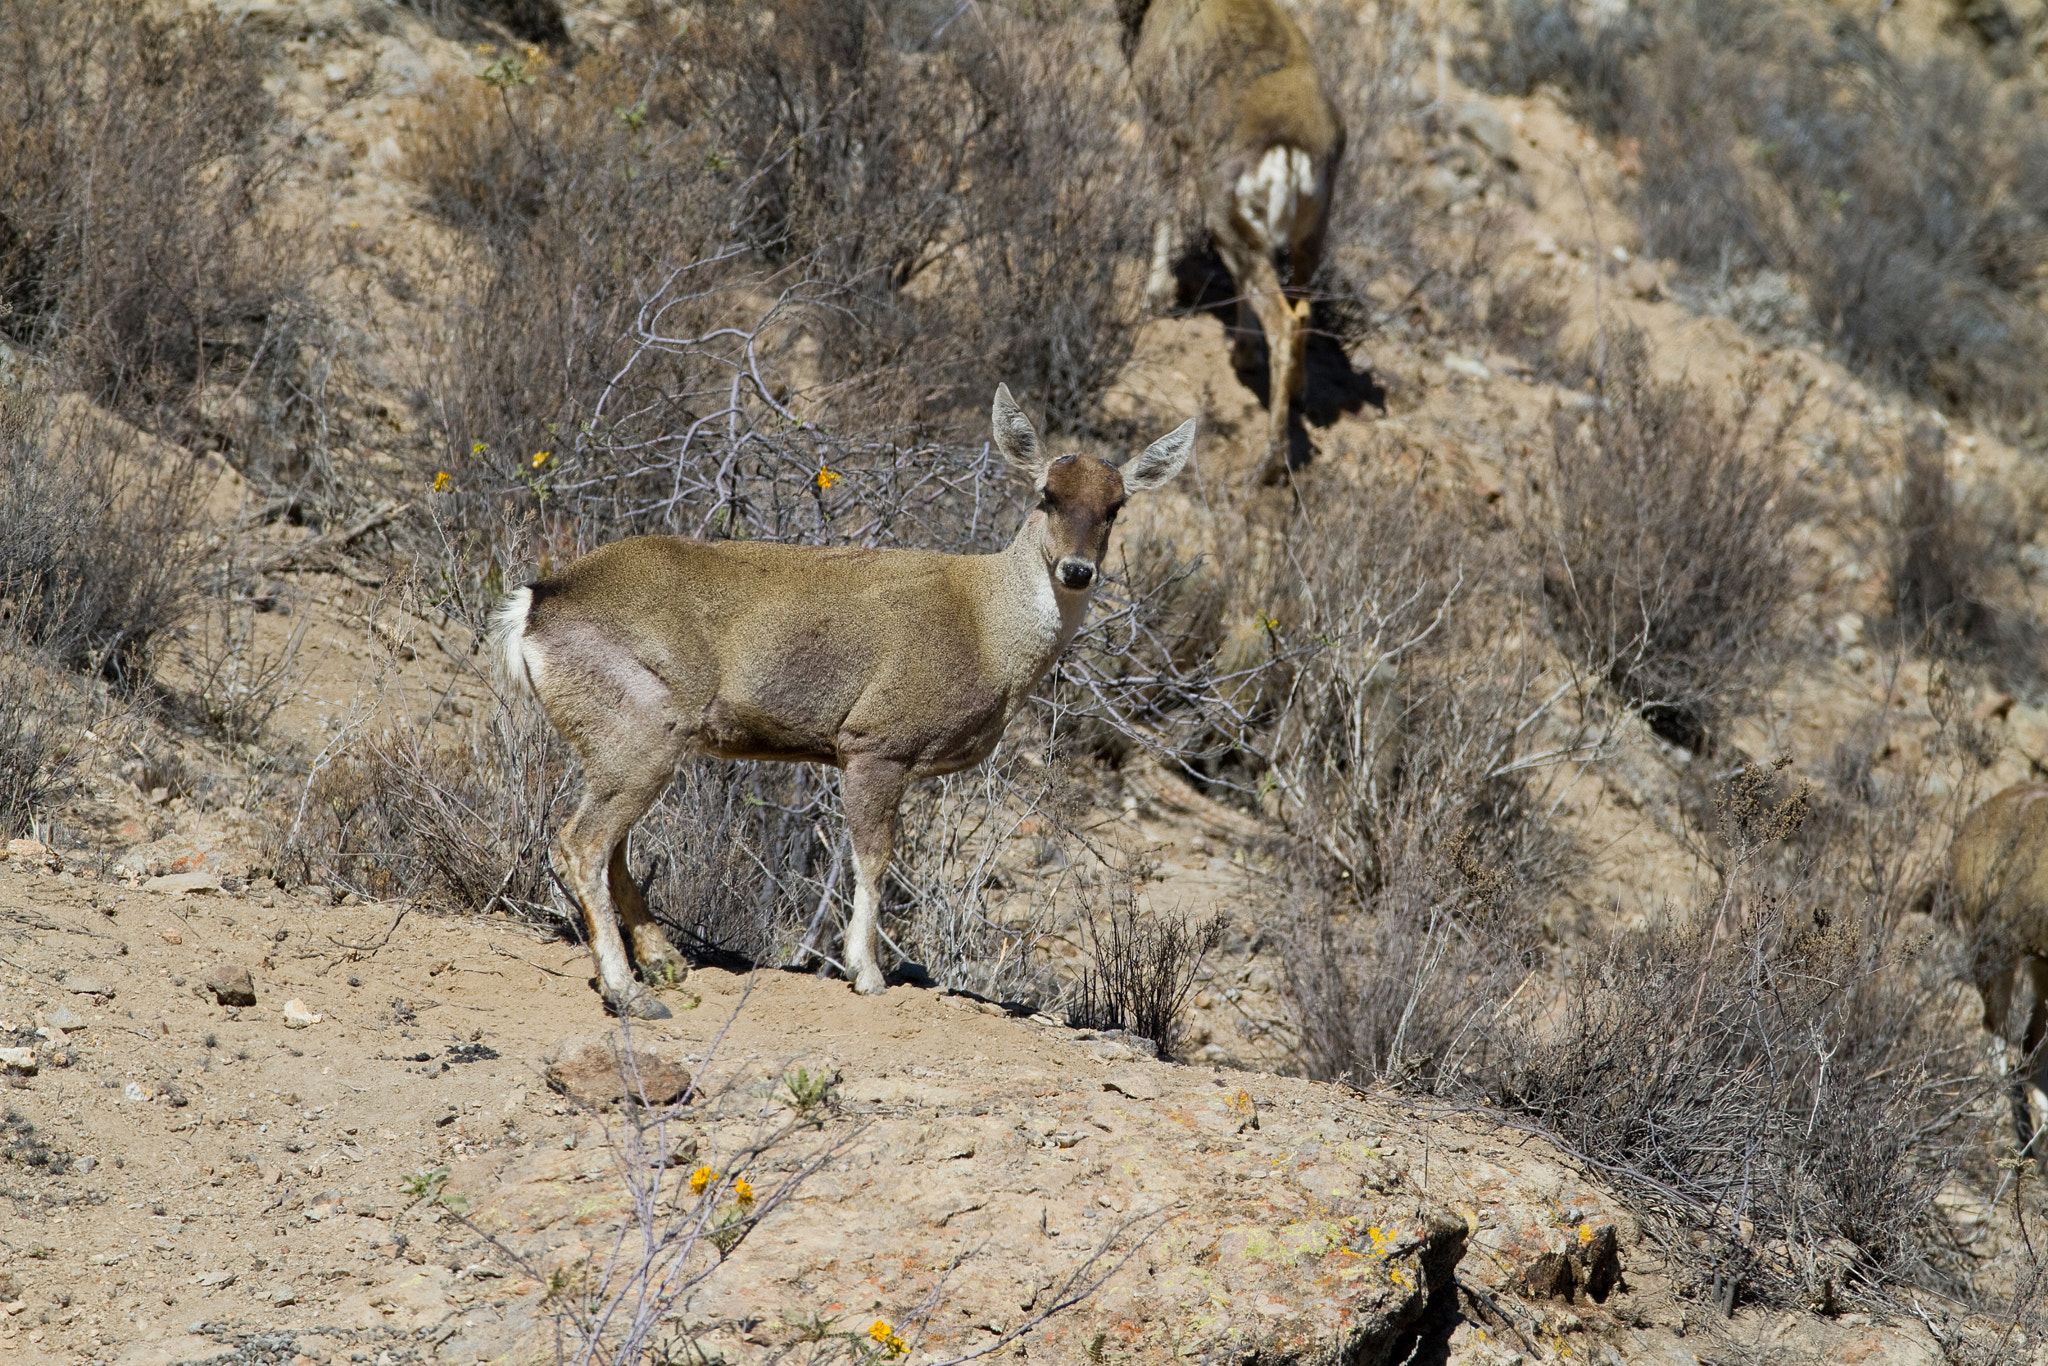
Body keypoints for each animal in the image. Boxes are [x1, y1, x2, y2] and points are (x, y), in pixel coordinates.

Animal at [497, 385, 1196, 1015]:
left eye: (1117, 506)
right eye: (1046, 495)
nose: (1077, 570)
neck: (985, 632)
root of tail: (533, 608)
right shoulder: (874, 742)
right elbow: (874, 859)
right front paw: (866, 973)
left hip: (625, 739)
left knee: (609, 842)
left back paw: (664, 963)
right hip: (640, 724)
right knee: (581, 843)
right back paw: (629, 991)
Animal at [1122, 0, 1343, 475]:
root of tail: (1290, 155)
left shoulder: (1162, 119)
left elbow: (1162, 203)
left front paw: (1156, 296)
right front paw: (1243, 352)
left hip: (1225, 217)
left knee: (1281, 320)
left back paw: (1271, 464)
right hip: (1309, 233)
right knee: (1299, 308)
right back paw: (1292, 391)